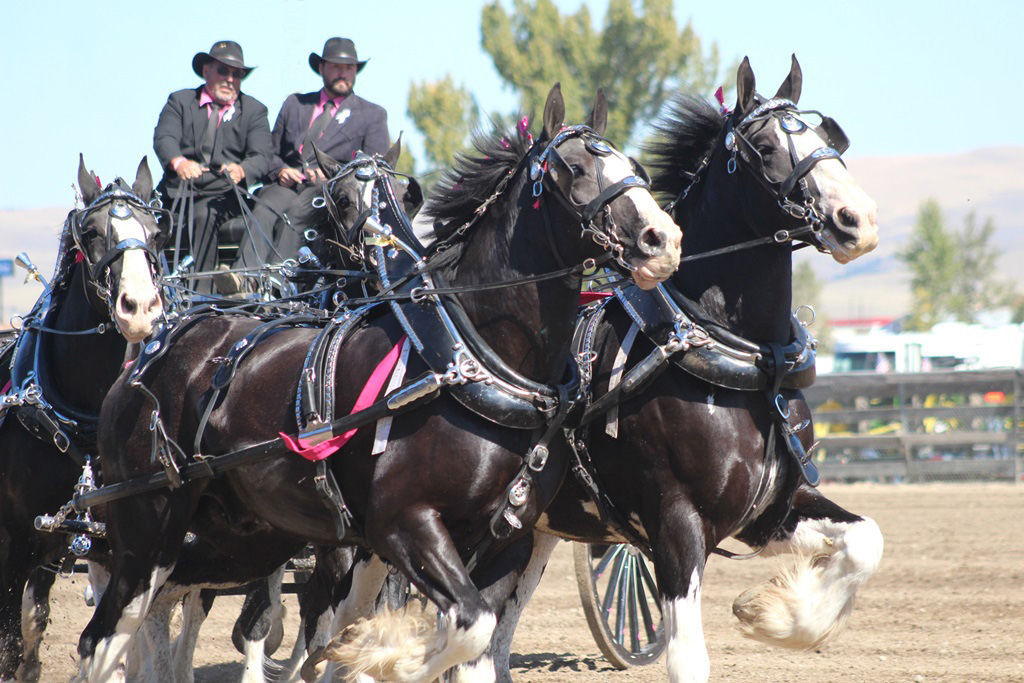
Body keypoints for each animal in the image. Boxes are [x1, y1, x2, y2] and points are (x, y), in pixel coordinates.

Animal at [0, 156, 166, 681]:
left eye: (157, 232)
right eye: (91, 232)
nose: (140, 308)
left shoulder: (114, 543)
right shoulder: (13, 538)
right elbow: (10, 641)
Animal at [75, 83, 682, 682]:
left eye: (635, 167)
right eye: (573, 168)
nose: (663, 239)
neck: (473, 360)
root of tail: (148, 353)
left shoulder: (506, 540)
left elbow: (478, 640)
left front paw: (362, 650)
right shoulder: (403, 525)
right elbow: (465, 626)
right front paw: (377, 653)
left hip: (239, 536)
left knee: (162, 612)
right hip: (148, 529)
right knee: (103, 637)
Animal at [318, 56, 884, 683]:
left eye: (827, 136)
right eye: (764, 146)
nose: (856, 219)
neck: (740, 357)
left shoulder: (771, 510)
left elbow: (867, 541)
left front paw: (775, 615)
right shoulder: (677, 524)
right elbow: (687, 657)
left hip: (524, 536)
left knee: (489, 642)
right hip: (378, 536)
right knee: (329, 624)